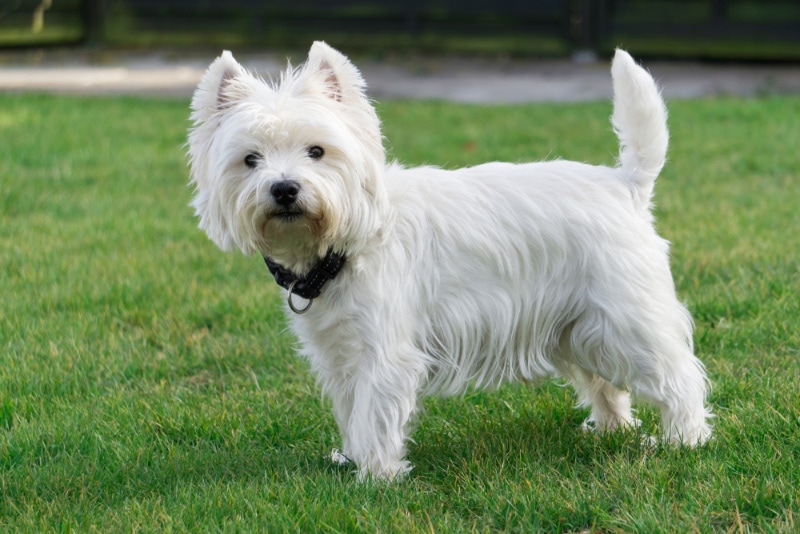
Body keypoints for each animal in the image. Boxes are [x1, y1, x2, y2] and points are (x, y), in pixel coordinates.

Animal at [188, 42, 712, 482]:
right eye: (250, 159)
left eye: (317, 151)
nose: (284, 189)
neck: (346, 244)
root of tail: (625, 183)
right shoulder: (339, 352)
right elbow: (352, 409)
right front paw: (352, 457)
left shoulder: (387, 350)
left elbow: (375, 412)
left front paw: (377, 477)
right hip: (578, 325)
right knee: (607, 383)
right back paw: (610, 430)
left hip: (627, 317)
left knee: (678, 375)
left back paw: (683, 441)